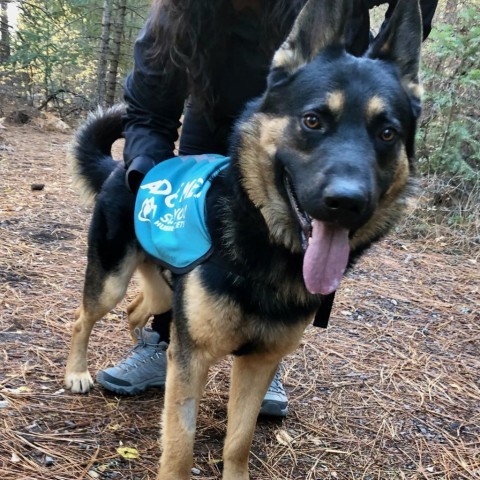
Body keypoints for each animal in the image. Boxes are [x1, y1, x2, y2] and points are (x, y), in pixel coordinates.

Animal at [64, 0, 424, 476]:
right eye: (313, 121)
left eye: (387, 133)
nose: (347, 202)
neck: (267, 247)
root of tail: (124, 170)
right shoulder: (193, 359)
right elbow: (180, 446)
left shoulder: (258, 364)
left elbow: (238, 440)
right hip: (109, 281)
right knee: (83, 319)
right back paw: (77, 372)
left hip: (164, 292)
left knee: (138, 310)